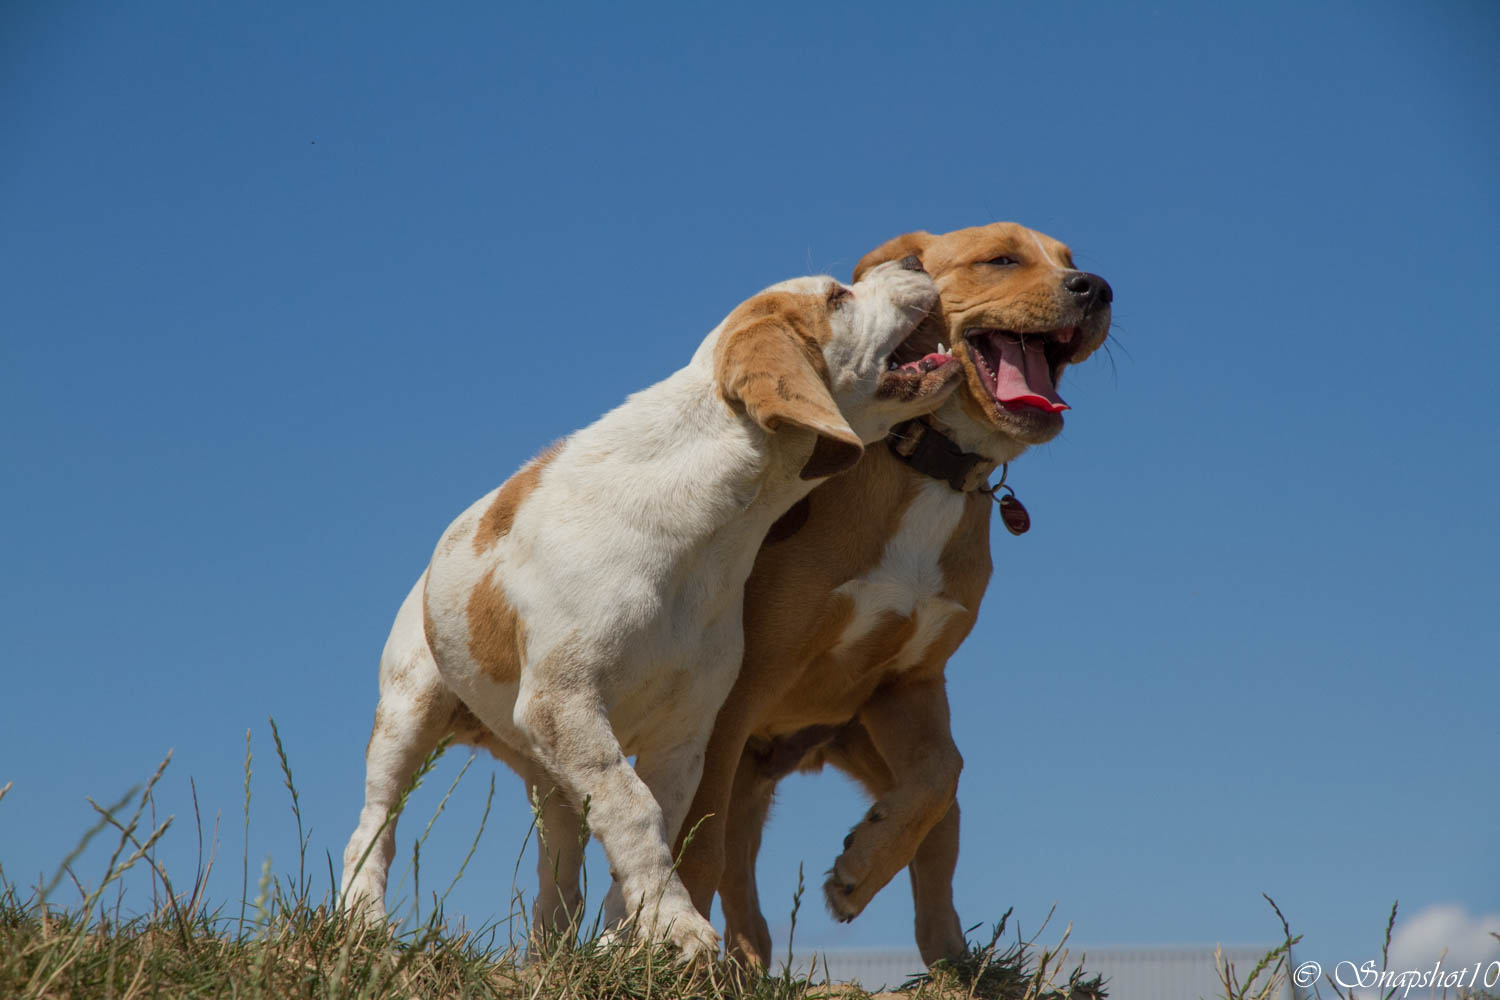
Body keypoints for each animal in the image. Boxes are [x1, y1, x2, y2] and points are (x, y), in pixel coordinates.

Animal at [340, 260, 960, 959]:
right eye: (836, 297)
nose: (913, 263)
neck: (712, 531)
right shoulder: (567, 703)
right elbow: (635, 811)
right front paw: (678, 927)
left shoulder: (682, 732)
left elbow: (651, 825)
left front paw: (632, 941)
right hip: (408, 717)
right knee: (372, 830)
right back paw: (363, 923)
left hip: (552, 777)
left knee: (559, 876)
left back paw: (552, 957)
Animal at [678, 223, 1116, 965]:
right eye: (1001, 259)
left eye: (1072, 261)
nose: (1098, 288)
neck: (928, 471)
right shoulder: (738, 689)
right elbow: (698, 840)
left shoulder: (907, 683)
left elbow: (944, 770)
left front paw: (862, 867)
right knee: (724, 850)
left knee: (936, 837)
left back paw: (952, 963)